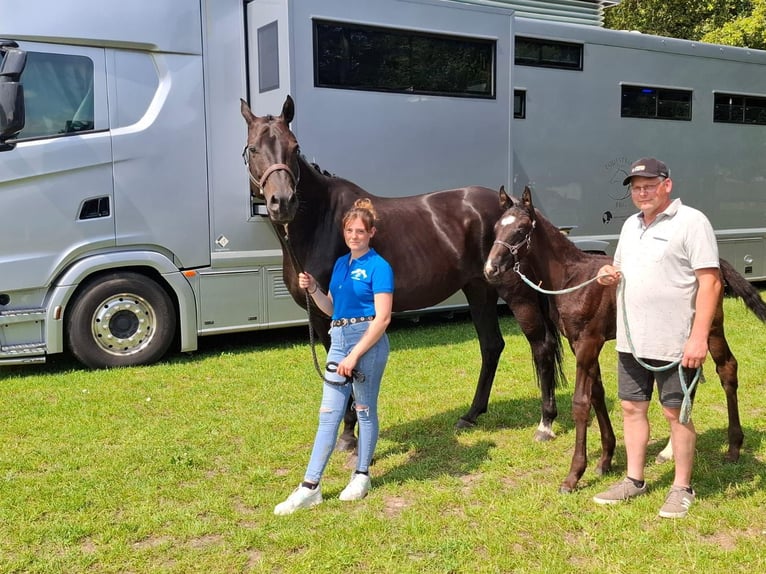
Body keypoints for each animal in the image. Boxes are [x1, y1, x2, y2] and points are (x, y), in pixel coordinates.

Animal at [243, 97, 568, 452]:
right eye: (254, 148)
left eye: (294, 147)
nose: (283, 202)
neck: (322, 222)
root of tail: (521, 212)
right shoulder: (319, 314)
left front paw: (348, 436)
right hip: (479, 287)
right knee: (491, 345)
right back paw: (470, 415)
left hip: (515, 292)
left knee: (541, 345)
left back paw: (545, 422)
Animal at [486, 187, 766, 492]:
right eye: (496, 227)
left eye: (521, 229)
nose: (491, 269)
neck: (572, 279)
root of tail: (715, 263)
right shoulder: (579, 343)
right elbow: (597, 393)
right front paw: (606, 459)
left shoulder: (588, 342)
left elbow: (581, 402)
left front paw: (574, 475)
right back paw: (669, 451)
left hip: (711, 329)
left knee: (727, 369)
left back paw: (733, 448)